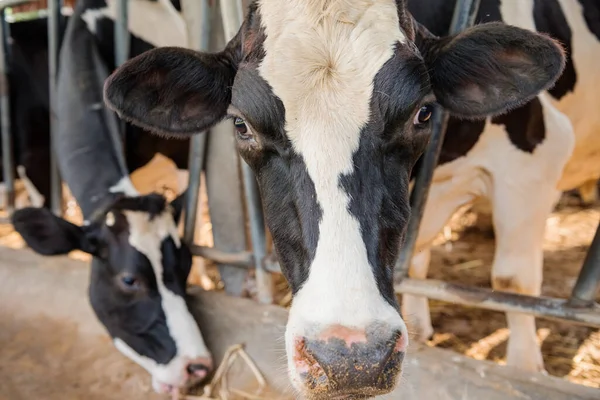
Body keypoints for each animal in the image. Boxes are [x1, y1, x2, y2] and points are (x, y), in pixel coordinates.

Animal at [103, 0, 568, 396]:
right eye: (241, 125)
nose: (352, 360)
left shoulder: (537, 160)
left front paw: (526, 367)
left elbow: (511, 280)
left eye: (422, 113)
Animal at [398, 0, 600, 376]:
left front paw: (525, 367)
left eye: (421, 112)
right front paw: (417, 328)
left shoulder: (533, 163)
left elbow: (512, 280)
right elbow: (414, 258)